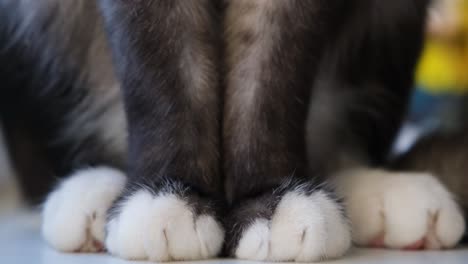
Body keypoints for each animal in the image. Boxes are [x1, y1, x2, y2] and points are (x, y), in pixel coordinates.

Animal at [0, 0, 462, 260]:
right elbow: (163, 73)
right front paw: (169, 193)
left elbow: (269, 78)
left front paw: (270, 199)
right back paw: (89, 197)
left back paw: (384, 192)